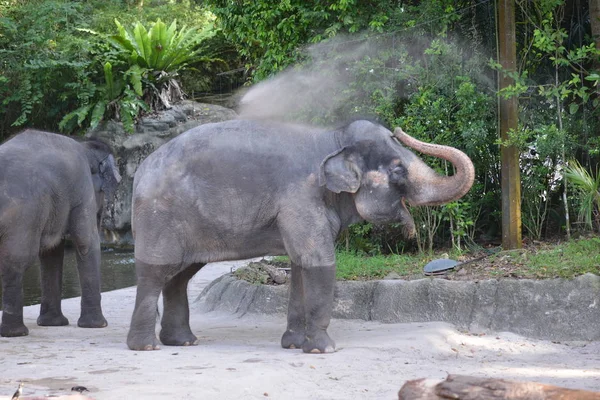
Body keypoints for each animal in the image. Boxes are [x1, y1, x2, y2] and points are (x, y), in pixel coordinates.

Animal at [0, 130, 122, 336]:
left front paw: (52, 324)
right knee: (16, 262)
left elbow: (51, 252)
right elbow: (85, 241)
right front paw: (98, 325)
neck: (84, 144)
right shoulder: (82, 187)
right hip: (21, 215)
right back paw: (16, 333)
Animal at [126, 119, 474, 354]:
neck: (333, 138)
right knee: (156, 272)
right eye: (398, 170)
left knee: (180, 275)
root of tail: (140, 171)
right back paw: (146, 347)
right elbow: (318, 261)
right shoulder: (300, 197)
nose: (399, 129)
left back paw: (182, 342)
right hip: (159, 217)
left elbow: (299, 266)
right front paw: (324, 349)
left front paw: (293, 345)